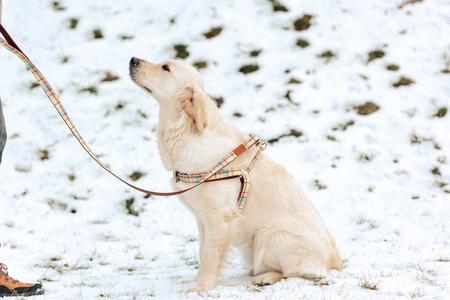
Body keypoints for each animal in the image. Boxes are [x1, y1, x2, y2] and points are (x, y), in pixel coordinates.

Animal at [128, 57, 342, 292]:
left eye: (165, 68)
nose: (133, 60)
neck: (187, 133)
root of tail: (336, 260)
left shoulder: (218, 218)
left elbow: (209, 255)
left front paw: (201, 288)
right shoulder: (202, 219)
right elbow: (202, 252)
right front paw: (195, 281)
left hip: (270, 234)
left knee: (301, 274)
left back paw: (266, 277)